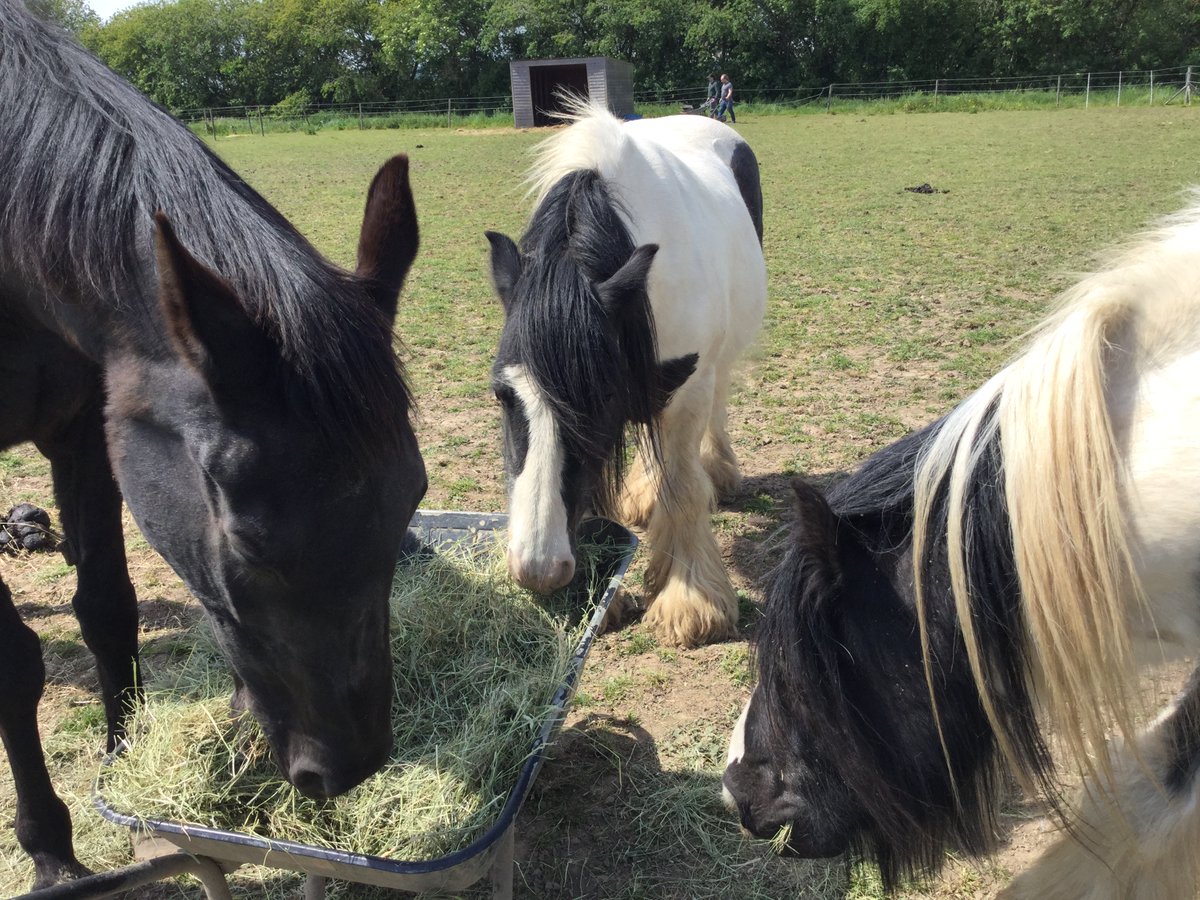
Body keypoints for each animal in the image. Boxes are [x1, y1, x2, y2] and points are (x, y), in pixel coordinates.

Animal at [0, 4, 426, 888]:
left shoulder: (89, 431)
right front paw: (52, 848)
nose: (351, 768)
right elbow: (13, 664)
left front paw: (124, 763)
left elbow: (107, 610)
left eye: (417, 498)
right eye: (251, 547)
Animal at [484, 102, 767, 647]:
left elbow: (682, 486)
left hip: (715, 364)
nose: (538, 570)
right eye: (502, 395)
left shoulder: (687, 388)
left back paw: (717, 470)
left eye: (601, 398)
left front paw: (689, 599)